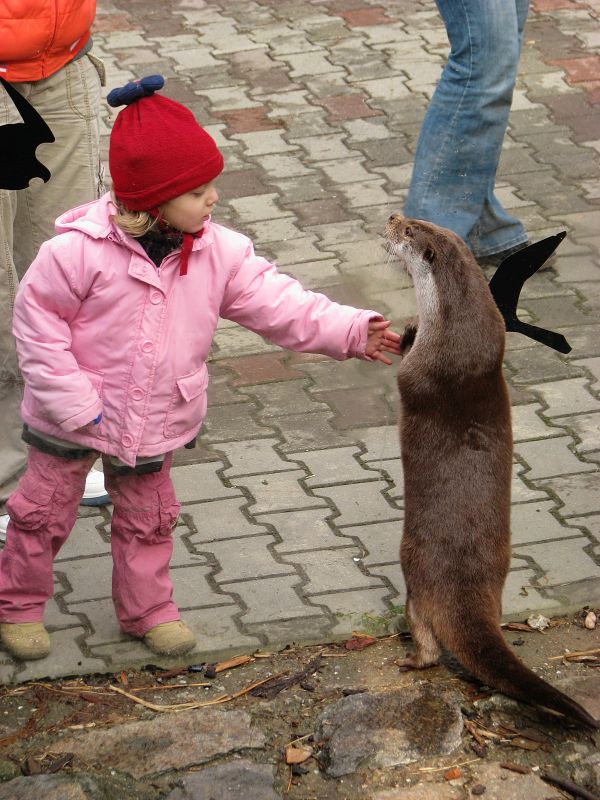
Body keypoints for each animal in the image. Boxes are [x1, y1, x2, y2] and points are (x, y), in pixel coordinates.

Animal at [384, 214, 598, 729]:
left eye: (411, 229)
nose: (392, 217)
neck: (460, 337)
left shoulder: (422, 367)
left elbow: (405, 374)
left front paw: (407, 332)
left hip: (414, 572)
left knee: (427, 636)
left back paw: (411, 657)